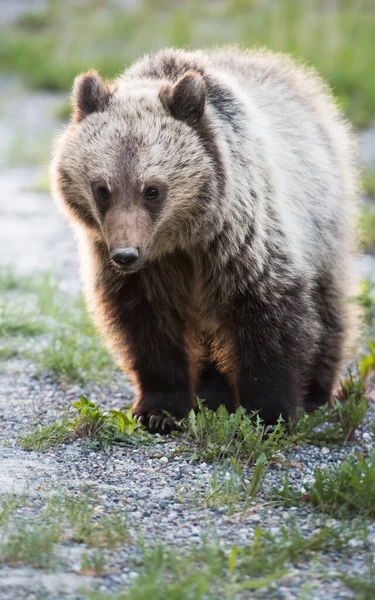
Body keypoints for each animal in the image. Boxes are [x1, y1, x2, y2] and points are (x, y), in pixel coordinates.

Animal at [51, 47, 360, 432]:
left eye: (152, 189)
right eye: (102, 189)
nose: (125, 254)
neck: (182, 237)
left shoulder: (239, 237)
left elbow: (269, 314)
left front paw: (268, 413)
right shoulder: (148, 270)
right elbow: (147, 325)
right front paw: (159, 410)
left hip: (323, 217)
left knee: (327, 304)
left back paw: (317, 390)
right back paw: (213, 393)